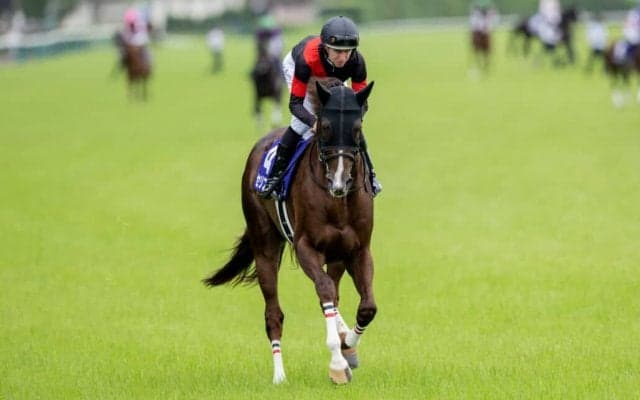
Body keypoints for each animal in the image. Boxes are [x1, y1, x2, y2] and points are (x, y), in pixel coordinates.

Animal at [203, 77, 377, 385]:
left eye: (357, 128)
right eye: (326, 127)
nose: (339, 182)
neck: (337, 201)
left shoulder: (358, 248)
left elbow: (366, 307)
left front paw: (347, 348)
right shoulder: (306, 246)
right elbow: (324, 291)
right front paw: (337, 363)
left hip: (336, 255)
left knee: (334, 292)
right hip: (264, 244)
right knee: (274, 314)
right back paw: (279, 375)